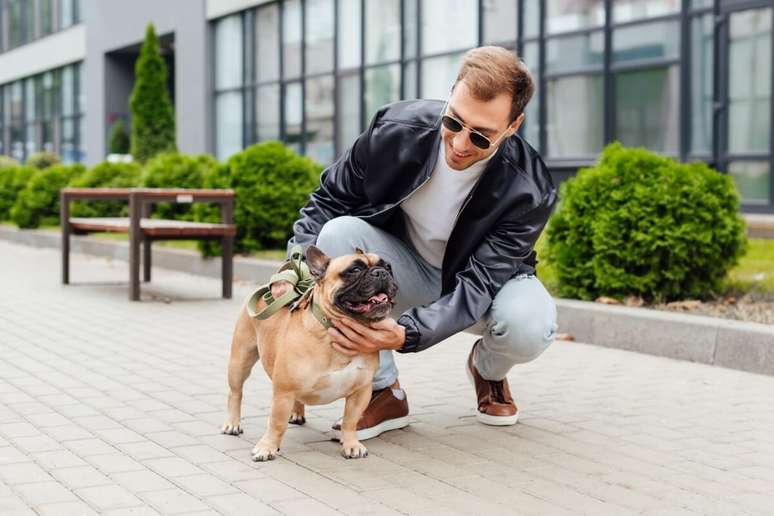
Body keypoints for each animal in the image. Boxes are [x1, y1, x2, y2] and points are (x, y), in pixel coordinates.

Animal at [221, 245, 398, 460]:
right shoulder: (283, 392)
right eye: (354, 270)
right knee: (235, 392)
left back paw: (297, 413)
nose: (381, 272)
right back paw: (232, 424)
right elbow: (276, 423)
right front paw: (267, 447)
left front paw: (351, 444)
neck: (332, 333)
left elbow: (350, 421)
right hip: (241, 359)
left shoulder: (361, 391)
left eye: (388, 266)